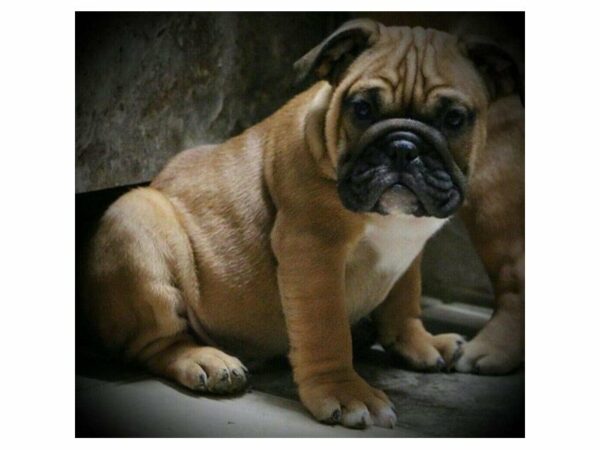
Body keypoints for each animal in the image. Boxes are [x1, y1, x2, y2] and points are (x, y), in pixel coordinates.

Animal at [82, 20, 524, 428]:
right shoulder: (313, 251)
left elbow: (404, 298)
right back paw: (205, 360)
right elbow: (326, 328)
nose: (403, 147)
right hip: (136, 221)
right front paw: (345, 392)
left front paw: (417, 343)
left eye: (454, 119)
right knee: (155, 344)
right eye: (361, 109)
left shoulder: (408, 253)